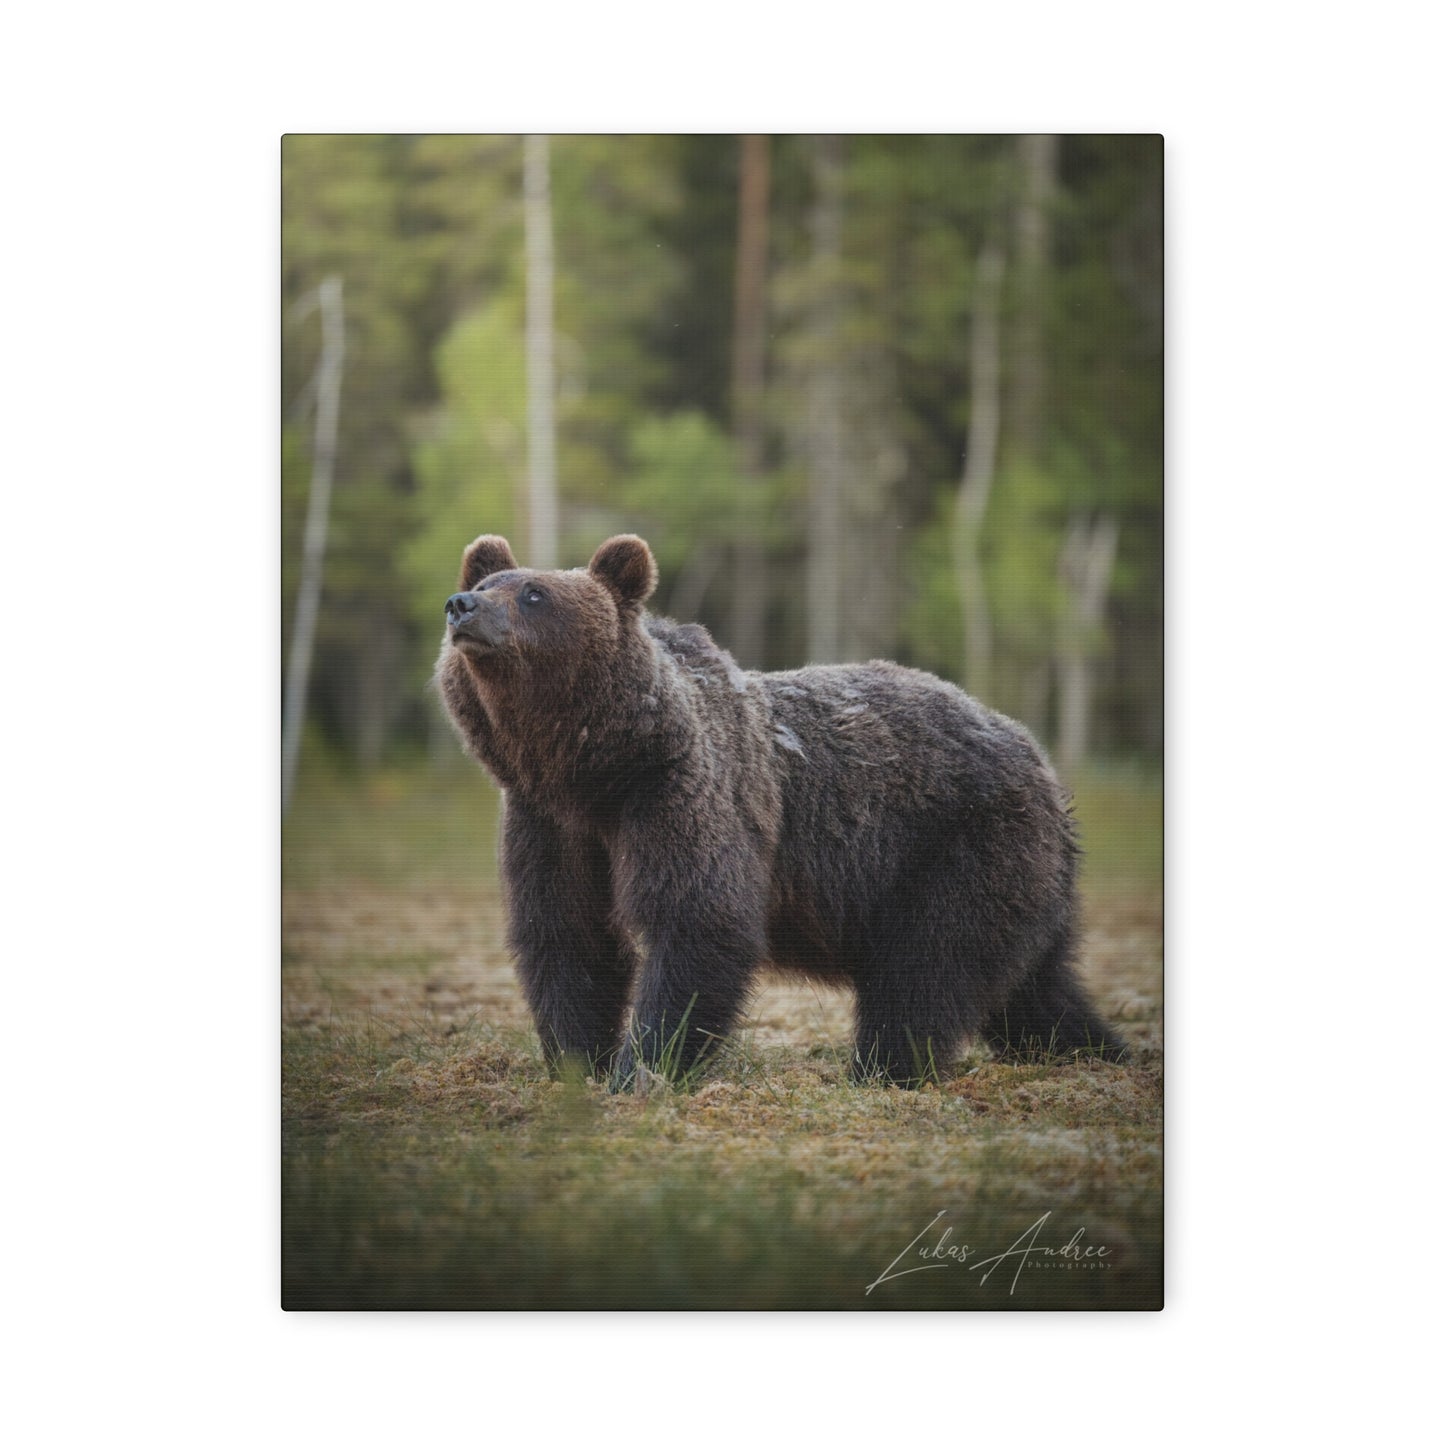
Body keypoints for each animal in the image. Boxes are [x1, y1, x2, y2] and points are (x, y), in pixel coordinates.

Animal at [437, 531, 1126, 1088]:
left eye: (533, 594)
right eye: (485, 582)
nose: (461, 605)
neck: (591, 768)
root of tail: (1038, 760)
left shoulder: (677, 794)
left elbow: (697, 922)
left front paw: (644, 1068)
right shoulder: (551, 824)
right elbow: (569, 935)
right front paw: (579, 1064)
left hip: (958, 842)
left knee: (926, 967)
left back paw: (880, 1069)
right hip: (1022, 875)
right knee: (1035, 988)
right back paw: (1097, 1051)